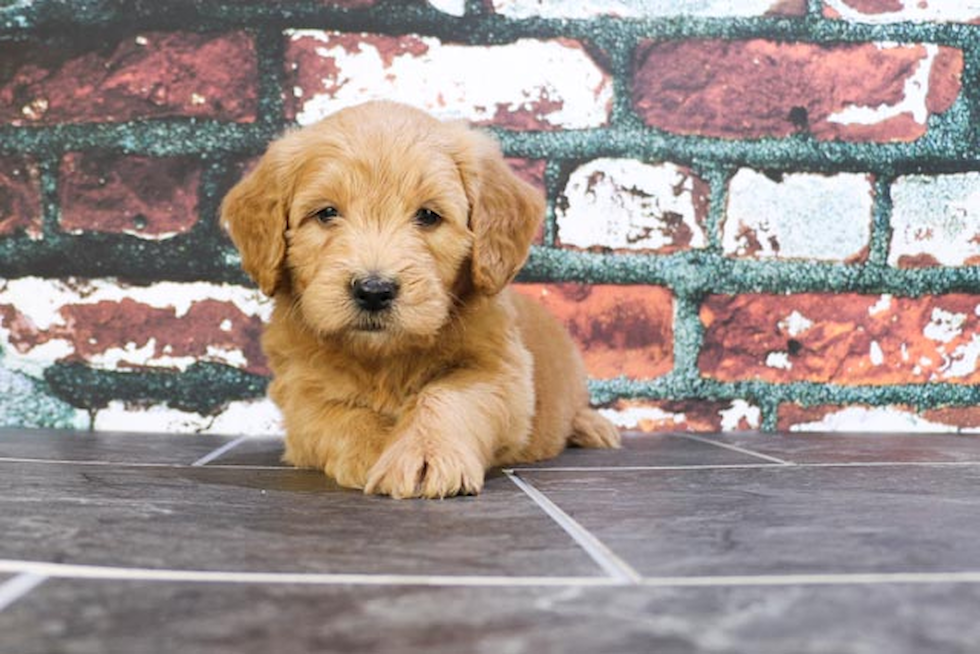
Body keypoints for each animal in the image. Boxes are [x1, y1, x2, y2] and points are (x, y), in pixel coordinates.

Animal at [222, 101, 620, 498]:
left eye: (428, 215)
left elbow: (447, 396)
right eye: (327, 213)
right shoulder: (299, 390)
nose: (374, 291)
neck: (384, 358)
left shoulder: (502, 373)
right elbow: (336, 415)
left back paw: (593, 426)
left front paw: (424, 453)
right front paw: (375, 450)